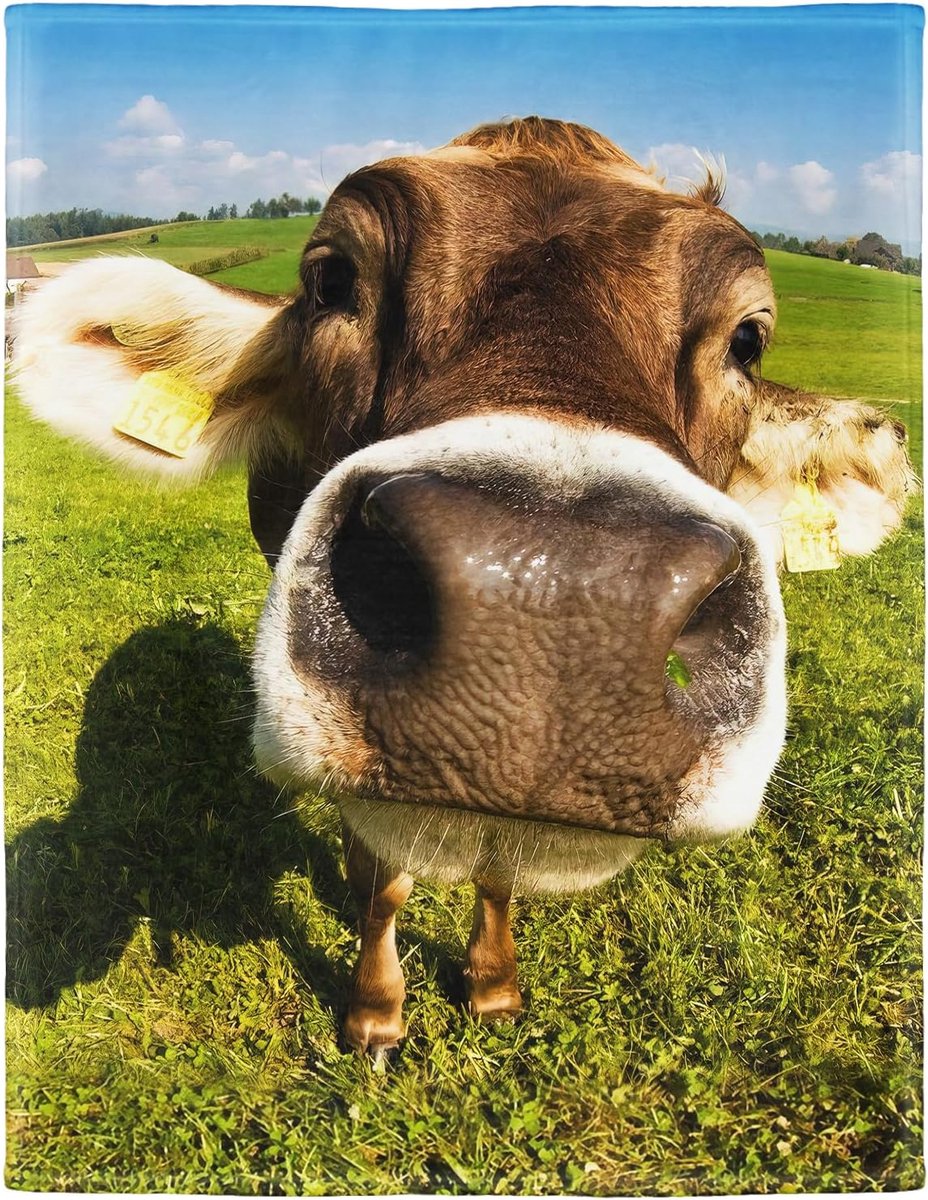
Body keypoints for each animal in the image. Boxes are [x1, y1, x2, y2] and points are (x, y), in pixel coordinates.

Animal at [12, 118, 916, 1058]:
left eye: (748, 339)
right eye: (331, 278)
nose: (558, 594)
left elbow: (498, 869)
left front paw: (493, 985)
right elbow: (383, 878)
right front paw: (375, 1011)